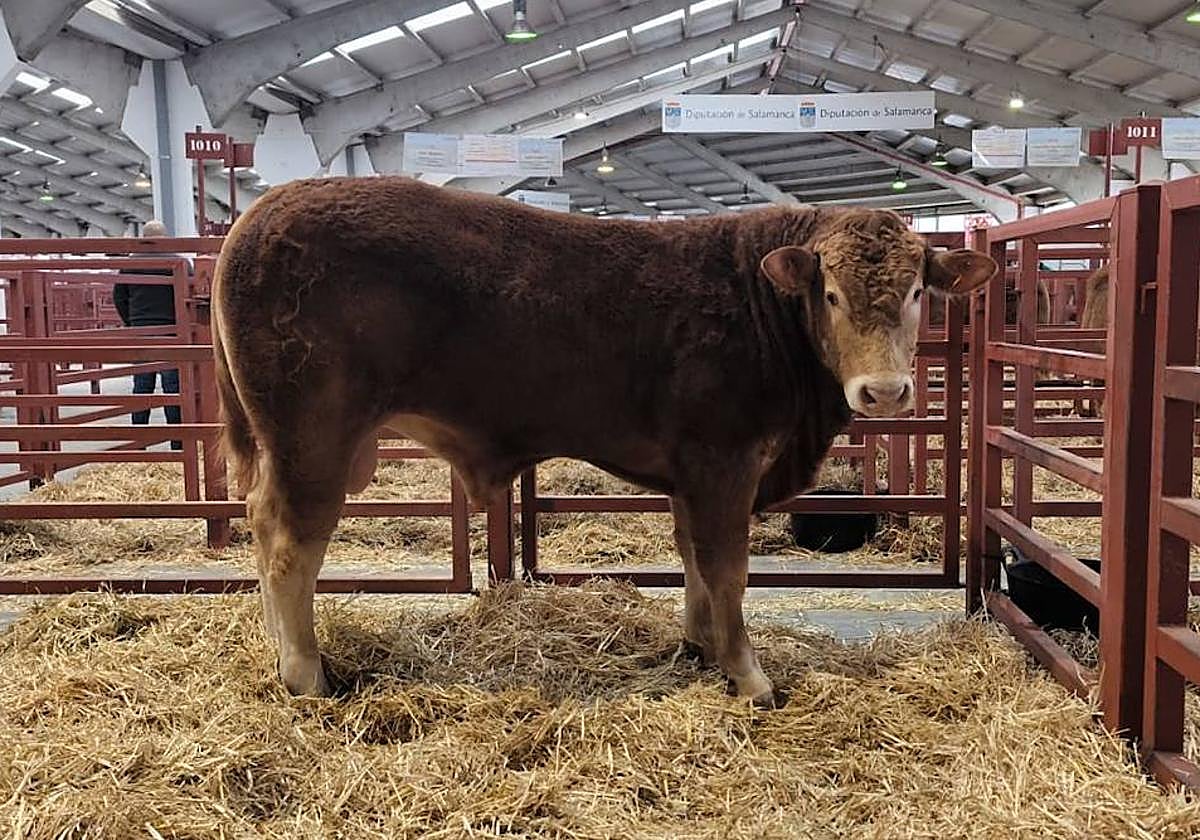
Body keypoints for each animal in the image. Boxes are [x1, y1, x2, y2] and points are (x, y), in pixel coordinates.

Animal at [211, 177, 996, 705]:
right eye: (830, 295)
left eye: (919, 292)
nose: (884, 392)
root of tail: (259, 213)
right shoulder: (724, 460)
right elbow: (729, 569)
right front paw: (749, 676)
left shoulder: (691, 474)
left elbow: (693, 561)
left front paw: (699, 646)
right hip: (312, 442)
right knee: (290, 547)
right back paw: (306, 675)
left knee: (265, 532)